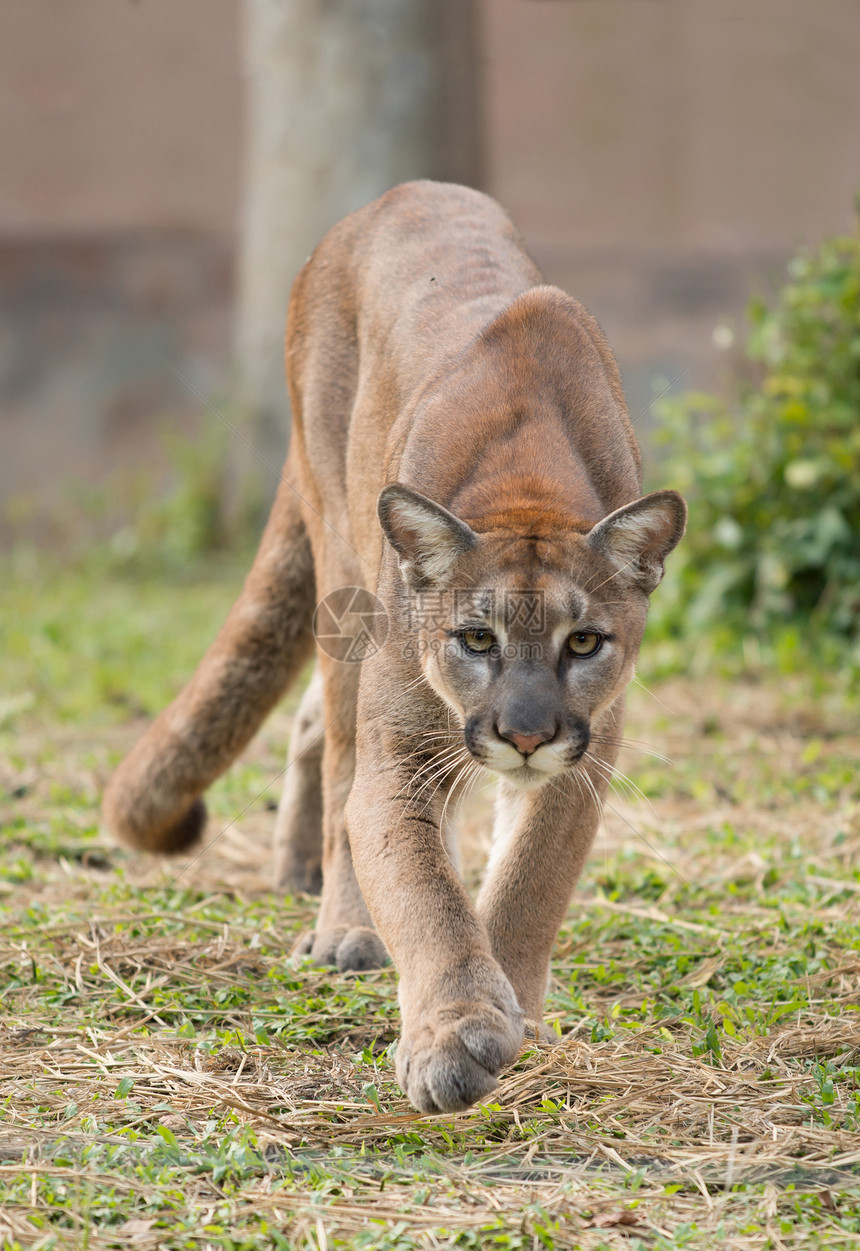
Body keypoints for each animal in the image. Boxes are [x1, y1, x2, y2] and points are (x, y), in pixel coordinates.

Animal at [105, 182, 685, 1115]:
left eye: (584, 641)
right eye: (475, 637)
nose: (526, 734)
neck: (528, 480)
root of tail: (395, 196)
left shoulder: (587, 755)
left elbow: (528, 880)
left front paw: (511, 1008)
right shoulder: (403, 747)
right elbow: (422, 890)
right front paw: (455, 1031)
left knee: (316, 728)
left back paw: (300, 868)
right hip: (346, 585)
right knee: (340, 757)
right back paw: (342, 924)